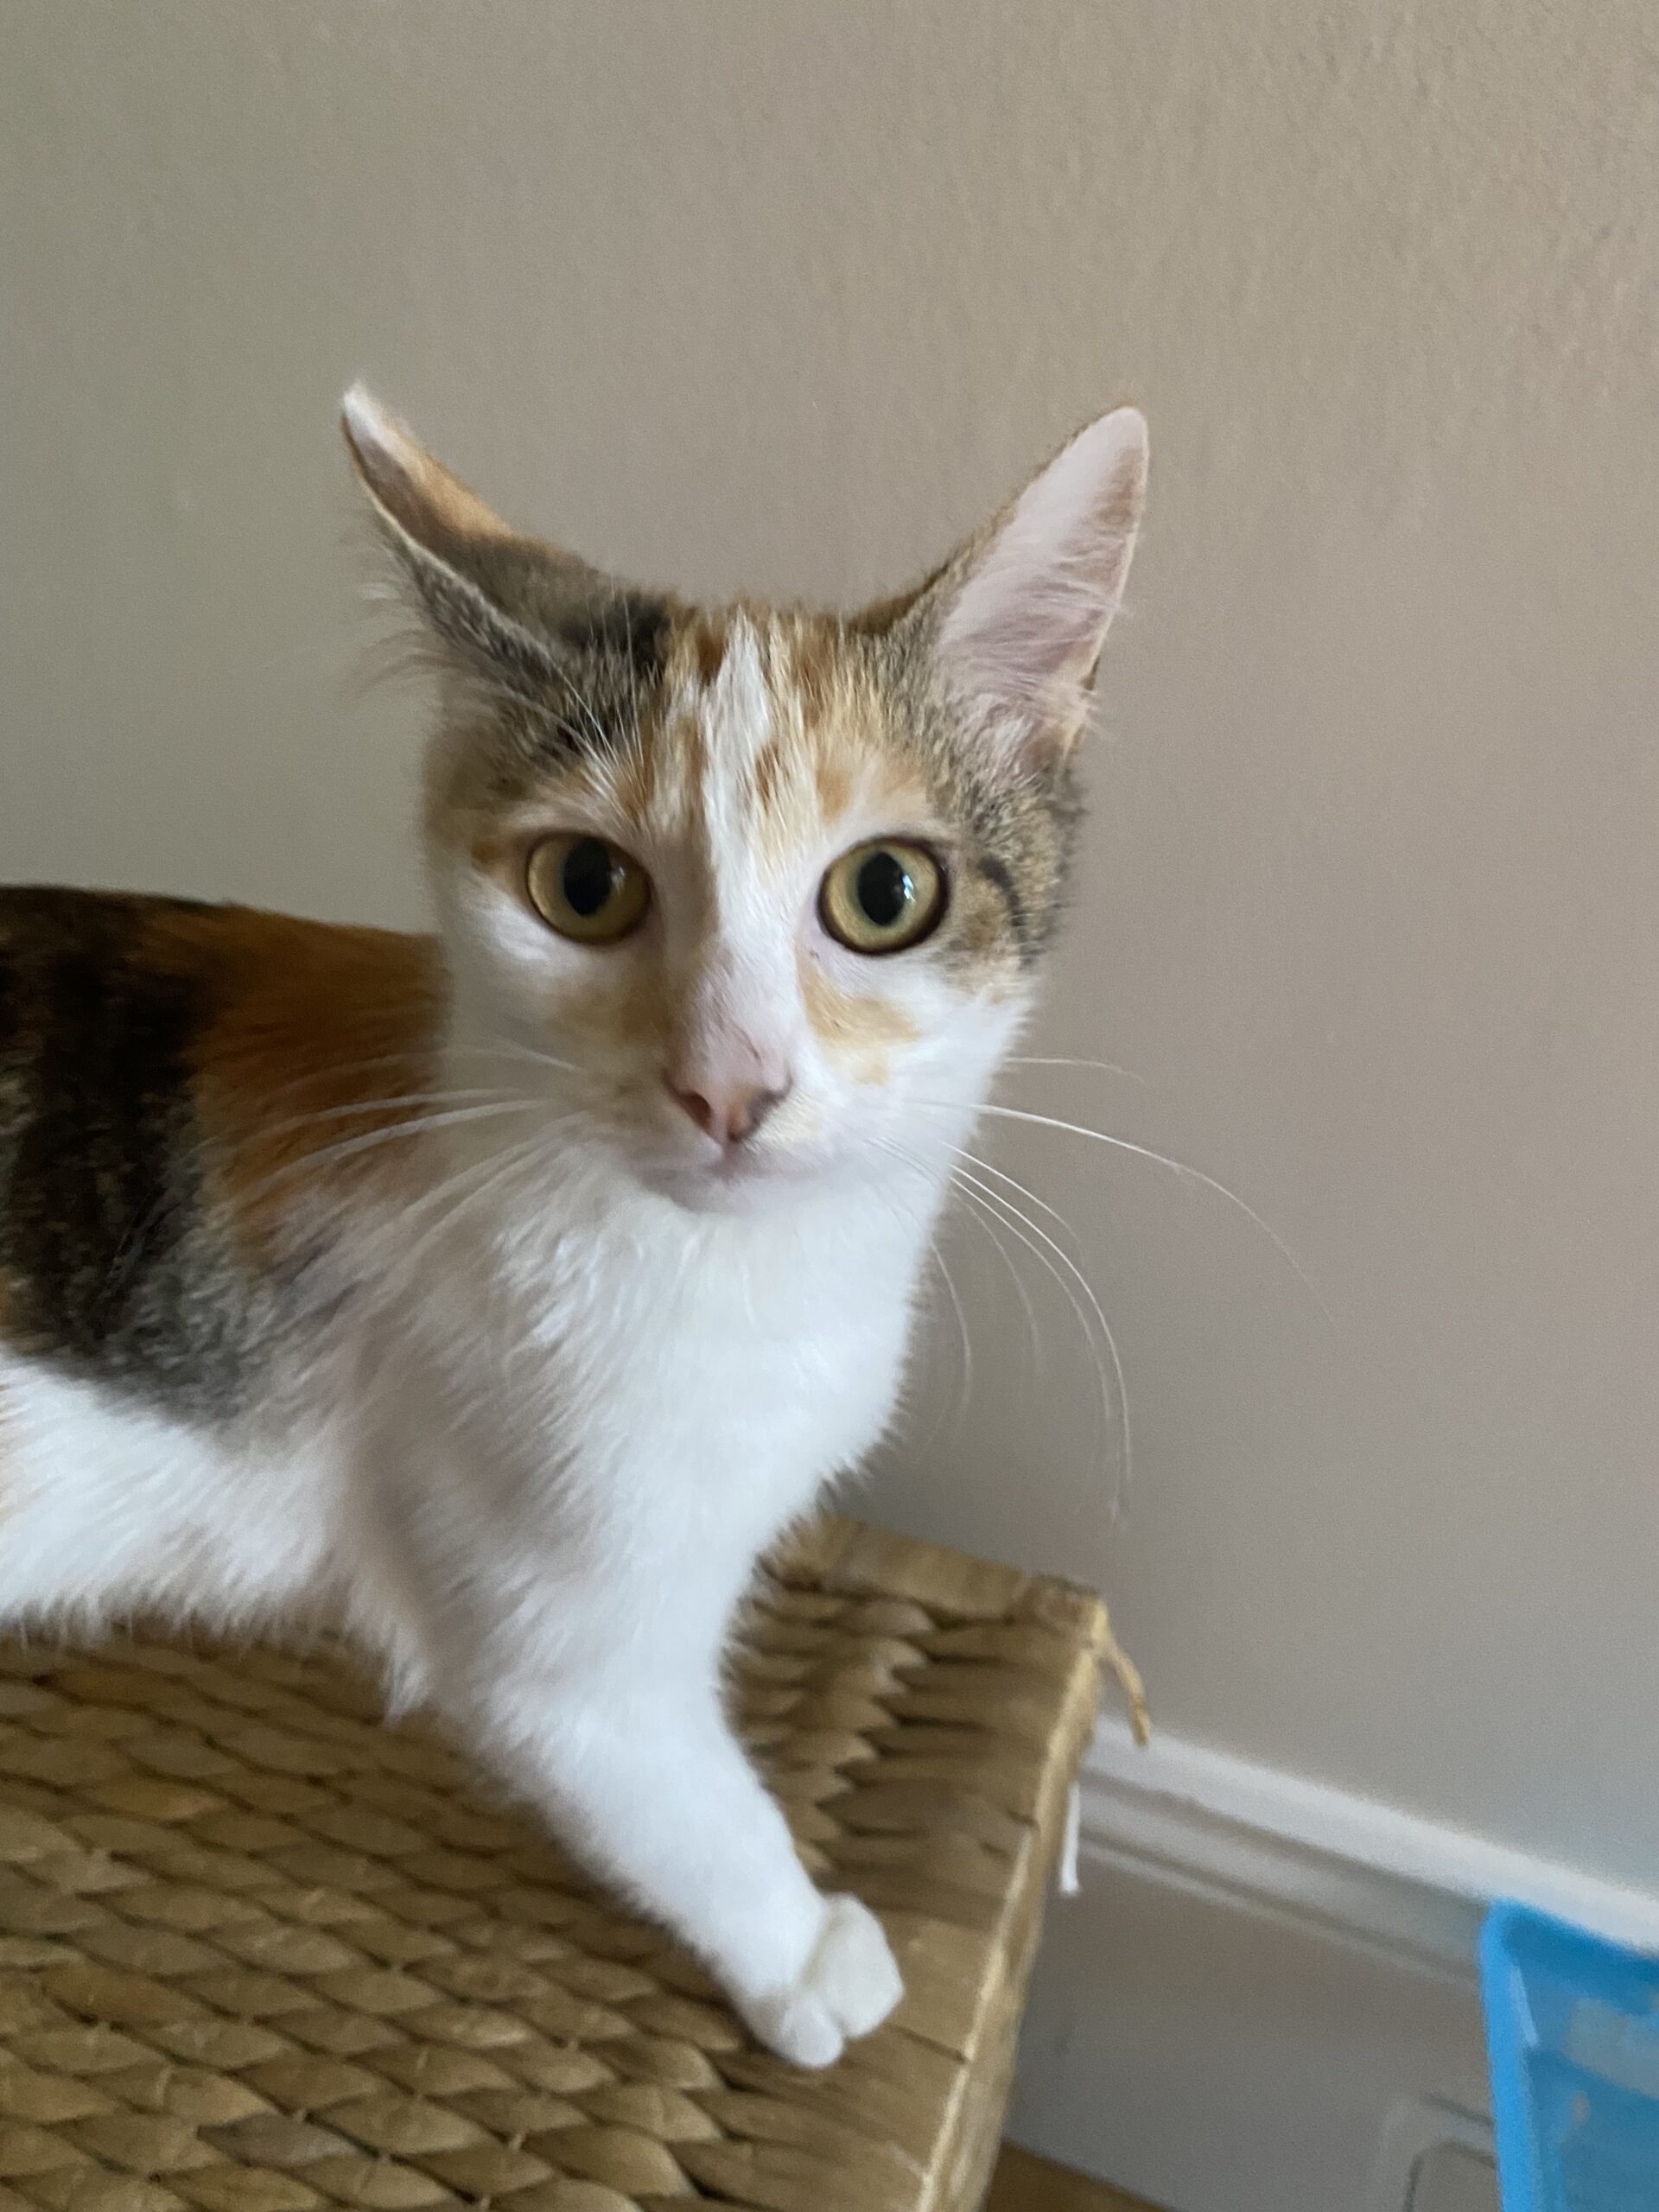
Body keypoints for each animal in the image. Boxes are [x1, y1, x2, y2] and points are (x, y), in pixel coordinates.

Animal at [0, 388, 1147, 2066]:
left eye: (886, 893)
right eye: (586, 884)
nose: (729, 1083)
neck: (742, 1280)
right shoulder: (562, 1645)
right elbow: (678, 1795)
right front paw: (806, 1955)